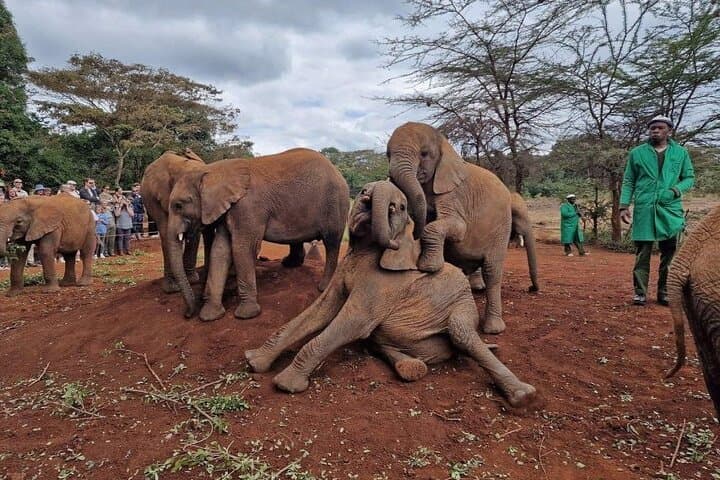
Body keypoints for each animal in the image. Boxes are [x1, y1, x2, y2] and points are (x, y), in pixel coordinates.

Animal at [167, 148, 349, 321]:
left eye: (178, 205)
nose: (187, 315)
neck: (212, 170)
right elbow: (220, 251)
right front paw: (209, 316)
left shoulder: (248, 208)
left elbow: (242, 249)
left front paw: (246, 315)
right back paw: (290, 264)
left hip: (336, 204)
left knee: (332, 242)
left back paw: (323, 287)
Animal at [244, 181, 537, 407]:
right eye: (363, 191)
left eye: (402, 207)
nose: (370, 200)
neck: (366, 249)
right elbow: (319, 311)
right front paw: (254, 361)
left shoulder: (384, 284)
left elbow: (352, 322)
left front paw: (286, 384)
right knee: (383, 341)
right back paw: (411, 367)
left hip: (463, 304)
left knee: (462, 335)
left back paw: (523, 395)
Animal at [387, 122, 539, 333]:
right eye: (387, 155)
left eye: (424, 154)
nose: (532, 289)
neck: (445, 145)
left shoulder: (455, 194)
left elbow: (458, 228)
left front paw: (428, 266)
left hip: (500, 228)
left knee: (492, 271)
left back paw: (493, 329)